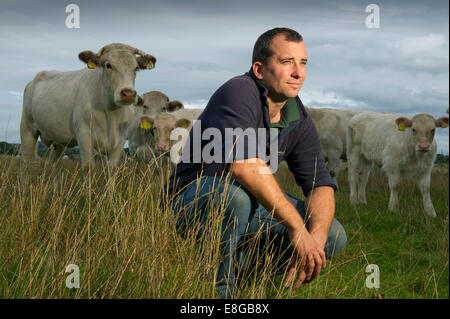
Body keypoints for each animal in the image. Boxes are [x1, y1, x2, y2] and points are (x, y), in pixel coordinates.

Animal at [19, 43, 156, 174]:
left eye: (136, 68)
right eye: (108, 65)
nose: (128, 93)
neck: (111, 115)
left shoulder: (120, 139)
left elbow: (111, 169)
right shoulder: (84, 134)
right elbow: (88, 168)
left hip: (59, 140)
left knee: (54, 164)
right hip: (27, 129)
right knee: (26, 163)